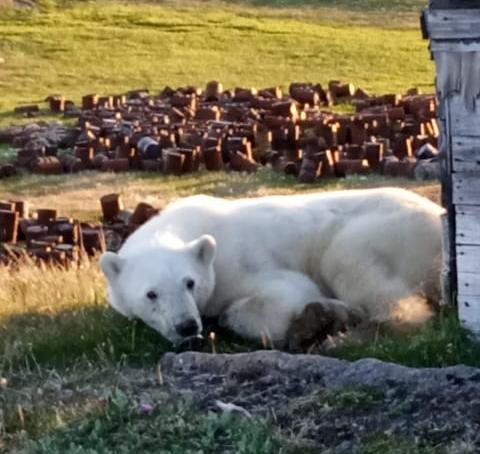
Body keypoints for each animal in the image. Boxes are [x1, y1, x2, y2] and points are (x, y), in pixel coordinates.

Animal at [99, 187, 444, 348]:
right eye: (151, 294)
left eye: (190, 282)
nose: (187, 326)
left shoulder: (238, 263)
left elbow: (287, 292)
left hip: (387, 230)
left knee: (351, 265)